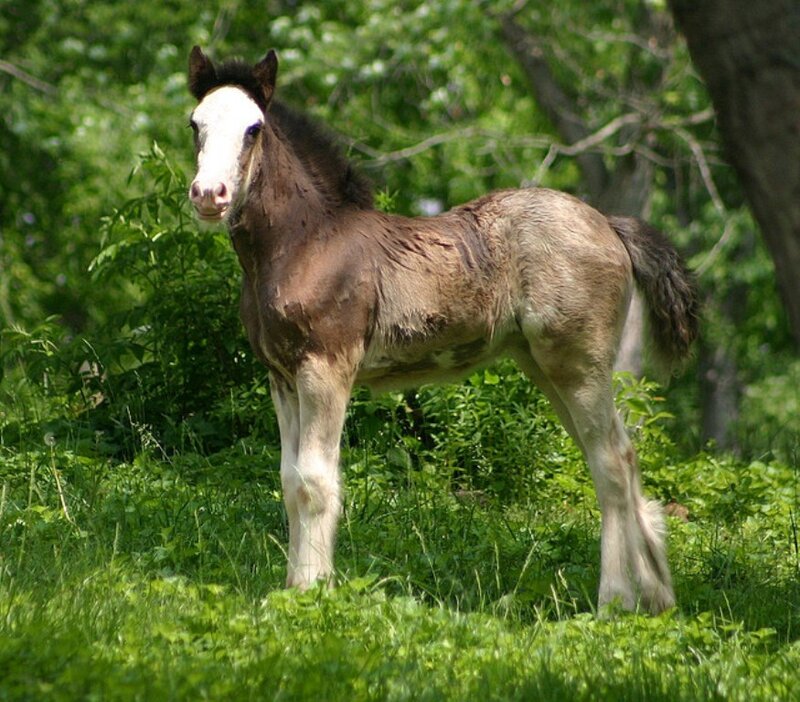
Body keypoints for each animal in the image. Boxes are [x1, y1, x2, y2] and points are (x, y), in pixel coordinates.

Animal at [186, 46, 698, 614]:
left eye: (253, 128)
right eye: (195, 124)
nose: (209, 194)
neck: (306, 244)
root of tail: (610, 224)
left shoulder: (326, 367)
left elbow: (314, 482)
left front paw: (315, 591)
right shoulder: (281, 376)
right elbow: (288, 478)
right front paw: (293, 587)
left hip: (578, 363)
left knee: (610, 463)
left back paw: (614, 599)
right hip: (546, 367)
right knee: (620, 457)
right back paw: (657, 595)